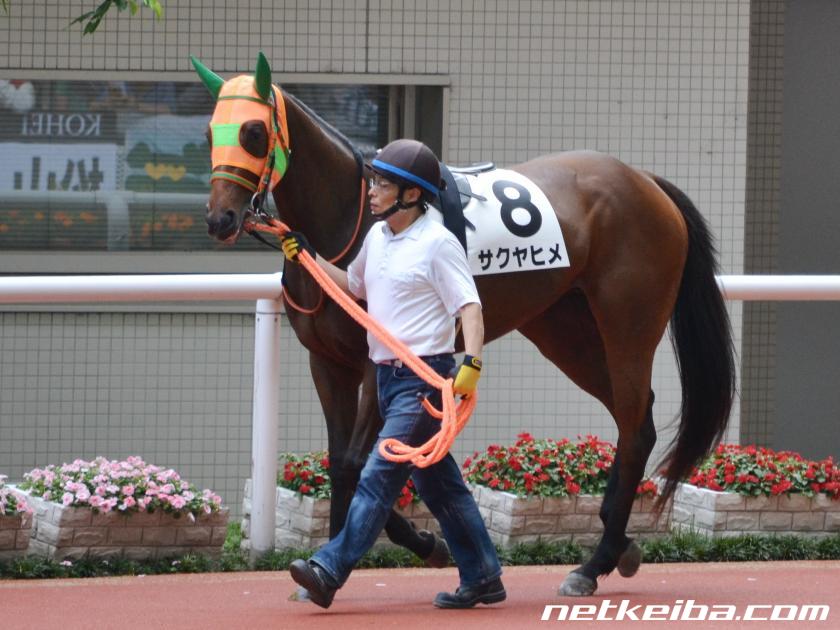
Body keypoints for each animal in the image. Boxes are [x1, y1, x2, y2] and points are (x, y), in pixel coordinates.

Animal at [192, 53, 736, 597]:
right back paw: (619, 545)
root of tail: (647, 181)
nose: (221, 219)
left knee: (635, 422)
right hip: (564, 330)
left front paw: (391, 550)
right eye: (209, 132)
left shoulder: (375, 360)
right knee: (635, 418)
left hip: (628, 324)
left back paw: (591, 565)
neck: (352, 219)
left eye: (254, 131)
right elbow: (342, 461)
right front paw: (362, 559)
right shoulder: (326, 362)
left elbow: (357, 461)